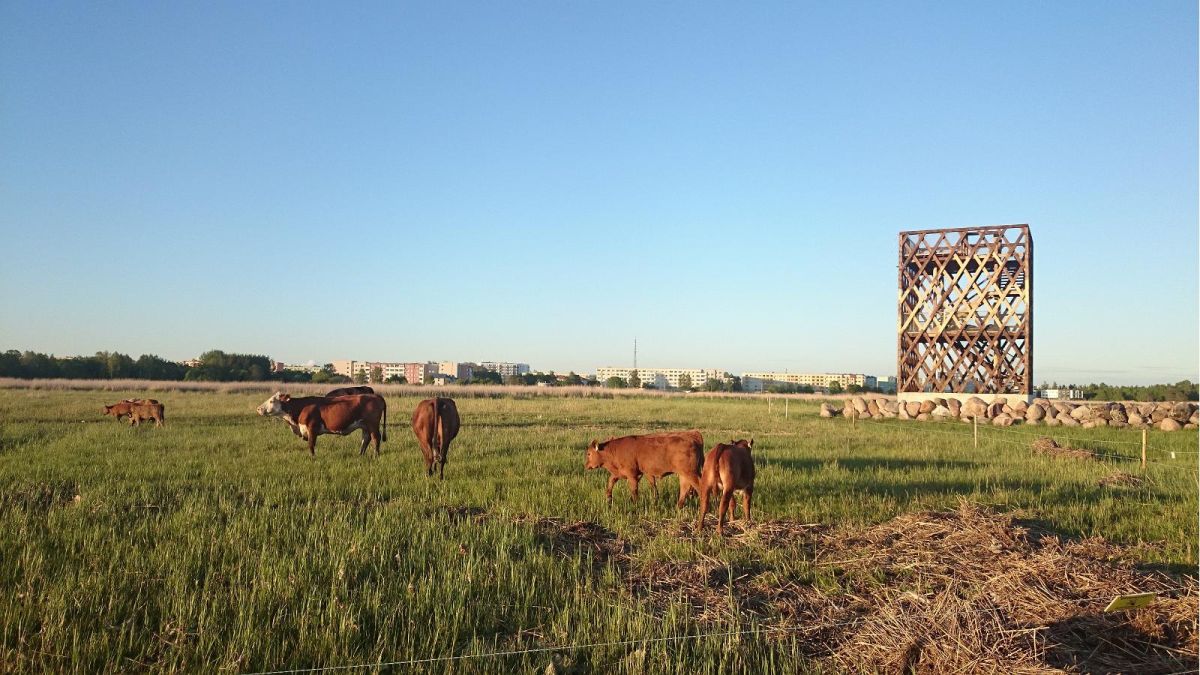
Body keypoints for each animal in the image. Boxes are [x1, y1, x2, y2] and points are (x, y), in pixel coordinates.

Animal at [256, 392, 387, 456]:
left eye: (272, 401)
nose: (258, 409)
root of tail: (375, 395)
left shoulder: (312, 428)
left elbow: (311, 445)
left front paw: (312, 458)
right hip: (365, 425)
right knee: (366, 439)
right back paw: (360, 455)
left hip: (372, 424)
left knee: (376, 438)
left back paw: (375, 455)